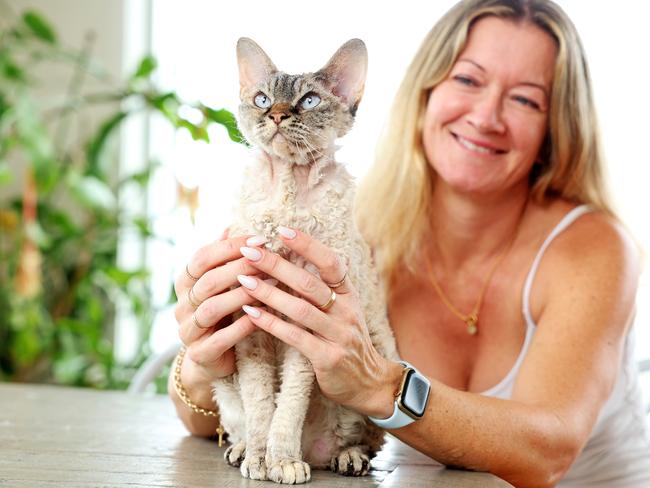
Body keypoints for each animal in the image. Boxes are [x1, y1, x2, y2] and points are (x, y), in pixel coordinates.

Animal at [210, 38, 398, 484]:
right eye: (262, 99)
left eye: (308, 101)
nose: (277, 115)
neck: (287, 195)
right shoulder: (251, 322)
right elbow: (261, 404)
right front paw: (260, 461)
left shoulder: (309, 327)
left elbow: (289, 404)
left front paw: (281, 461)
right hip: (224, 384)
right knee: (239, 420)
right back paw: (240, 451)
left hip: (380, 346)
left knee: (364, 439)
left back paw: (345, 458)